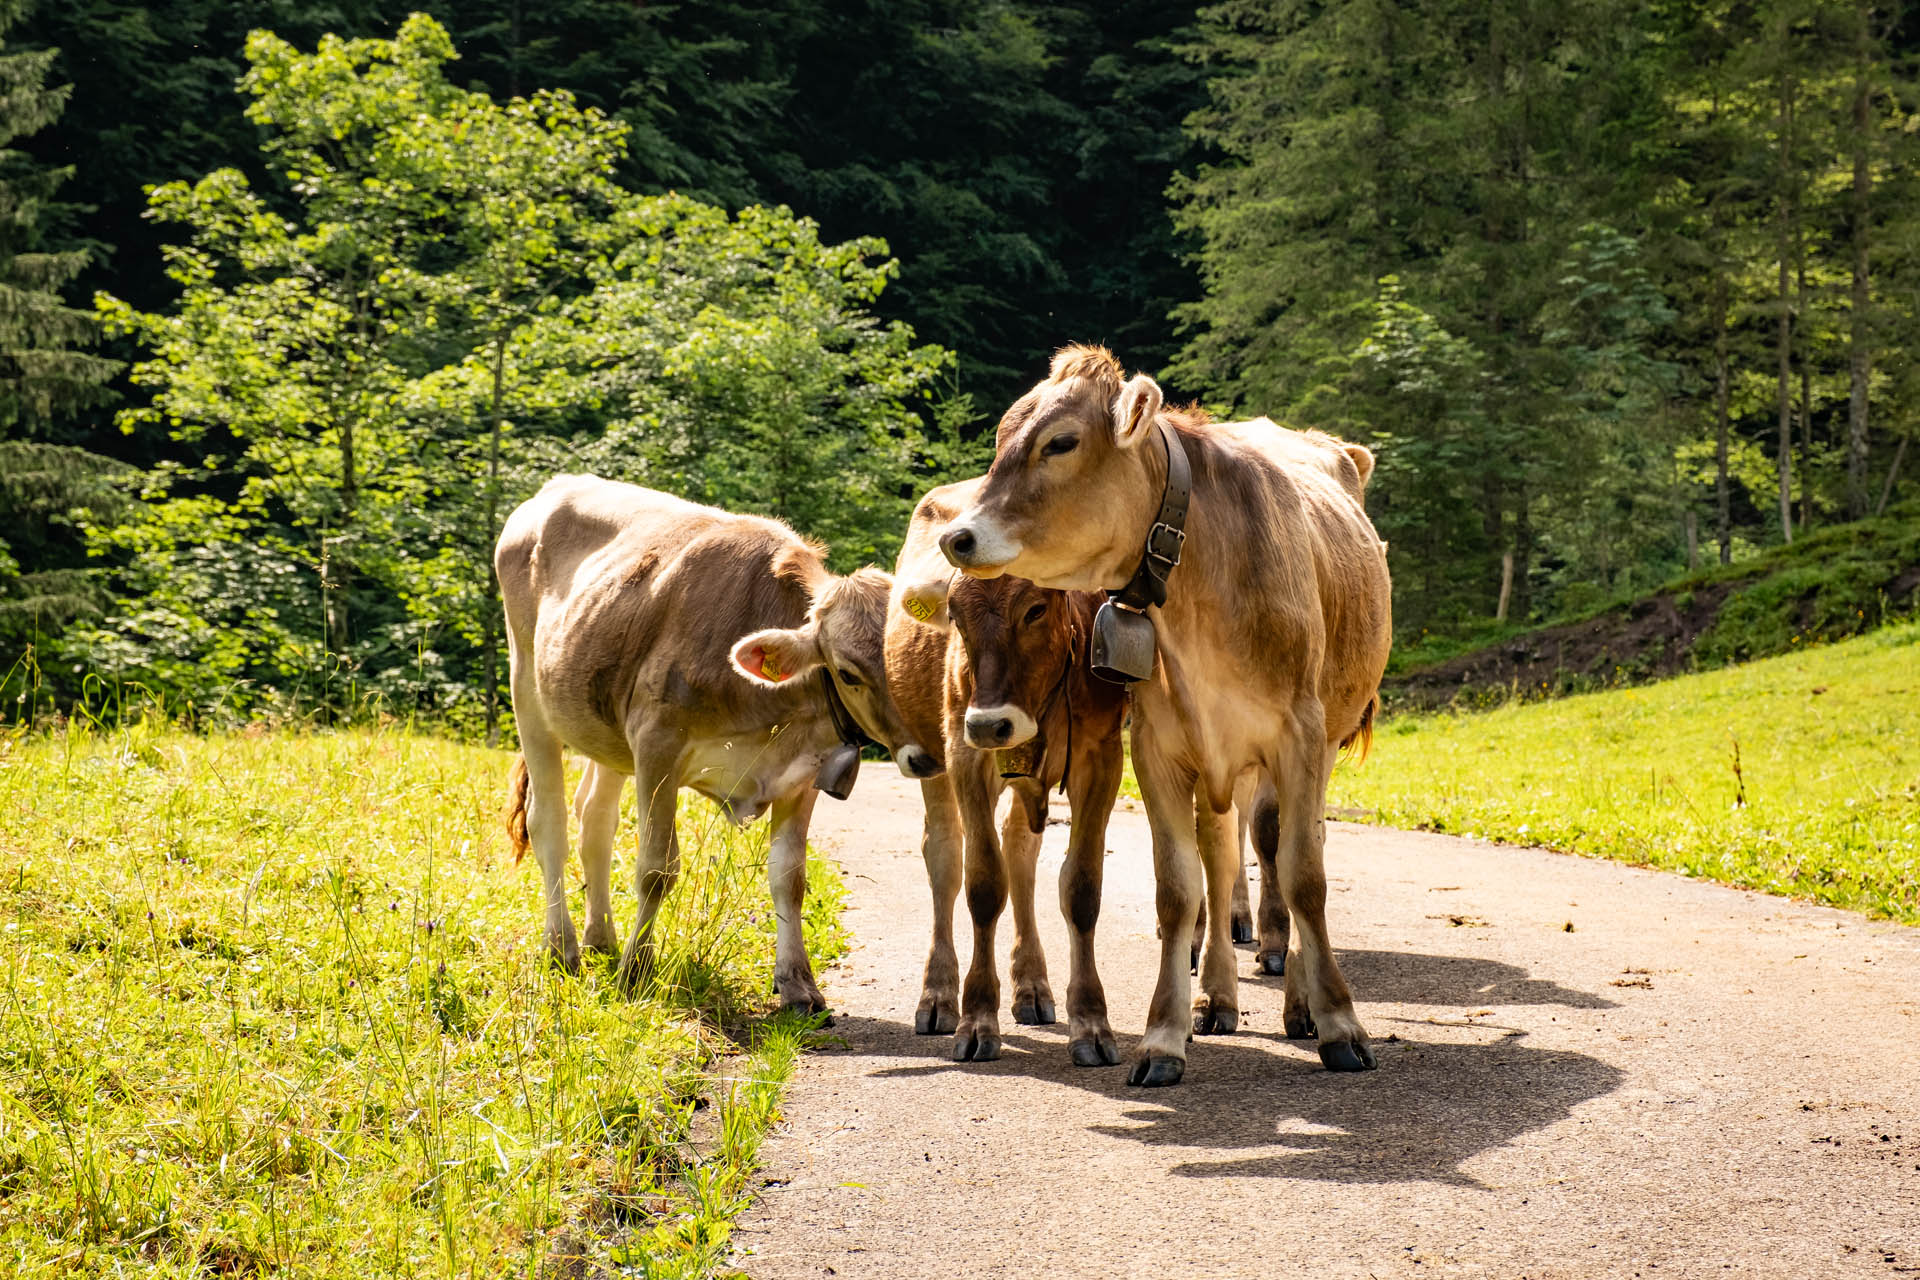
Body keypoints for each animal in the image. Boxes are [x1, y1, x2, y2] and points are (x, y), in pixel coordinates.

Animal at [491, 475, 925, 1013]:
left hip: (603, 724)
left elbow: (789, 877)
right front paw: (636, 972)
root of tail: (558, 484)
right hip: (528, 693)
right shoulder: (656, 747)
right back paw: (562, 947)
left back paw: (601, 938)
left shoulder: (803, 775)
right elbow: (656, 869)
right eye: (848, 672)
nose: (925, 754)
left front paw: (798, 984)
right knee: (547, 821)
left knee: (594, 820)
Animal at [887, 475, 1128, 1066]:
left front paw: (1091, 1022)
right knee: (944, 858)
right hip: (933, 756)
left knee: (1020, 850)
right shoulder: (966, 755)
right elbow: (982, 884)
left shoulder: (1102, 757)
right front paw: (976, 1017)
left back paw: (1033, 986)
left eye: (1036, 609)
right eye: (955, 615)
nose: (992, 723)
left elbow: (1081, 888)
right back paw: (938, 994)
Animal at [936, 345, 1390, 1090]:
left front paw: (1340, 1024)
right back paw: (1219, 997)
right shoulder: (1160, 747)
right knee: (1222, 852)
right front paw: (1164, 1037)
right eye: (1002, 439)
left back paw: (1297, 1002)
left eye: (1060, 442)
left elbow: (1304, 876)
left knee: (1288, 851)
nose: (958, 535)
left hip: (1309, 743)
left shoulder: (1299, 739)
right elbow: (1179, 889)